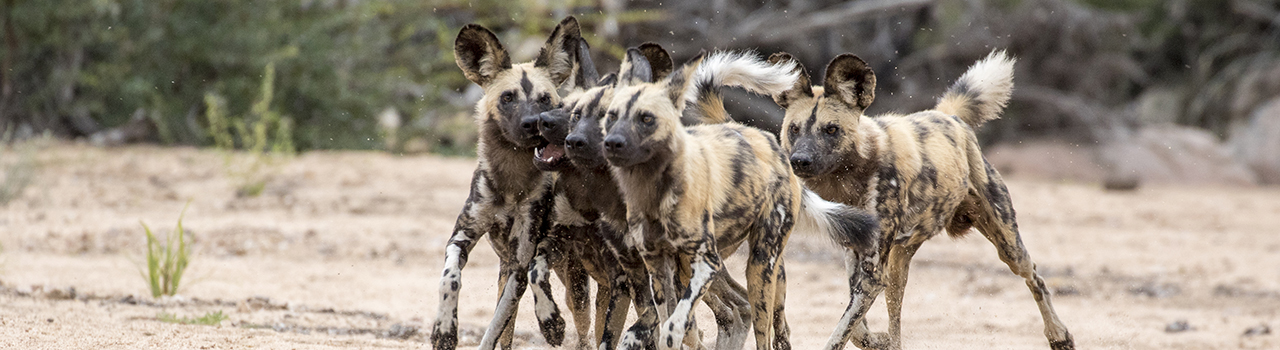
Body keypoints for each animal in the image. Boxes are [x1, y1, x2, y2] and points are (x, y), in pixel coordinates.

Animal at [430, 17, 588, 348]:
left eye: (545, 99)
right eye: (508, 98)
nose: (533, 124)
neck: (511, 181)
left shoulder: (522, 261)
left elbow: (528, 287)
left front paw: (550, 322)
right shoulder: (462, 237)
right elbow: (450, 278)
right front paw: (444, 330)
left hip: (576, 284)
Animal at [599, 49, 880, 348]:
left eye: (646, 119)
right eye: (611, 116)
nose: (613, 143)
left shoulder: (705, 265)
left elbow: (675, 326)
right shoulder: (658, 270)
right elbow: (669, 323)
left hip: (760, 267)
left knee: (762, 331)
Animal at [762, 49, 1075, 348]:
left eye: (831, 129)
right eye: (794, 129)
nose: (800, 160)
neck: (846, 179)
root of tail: (947, 116)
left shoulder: (872, 273)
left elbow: (841, 332)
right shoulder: (857, 257)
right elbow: (857, 330)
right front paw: (876, 341)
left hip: (1008, 247)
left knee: (1035, 277)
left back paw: (1059, 335)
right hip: (898, 266)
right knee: (896, 323)